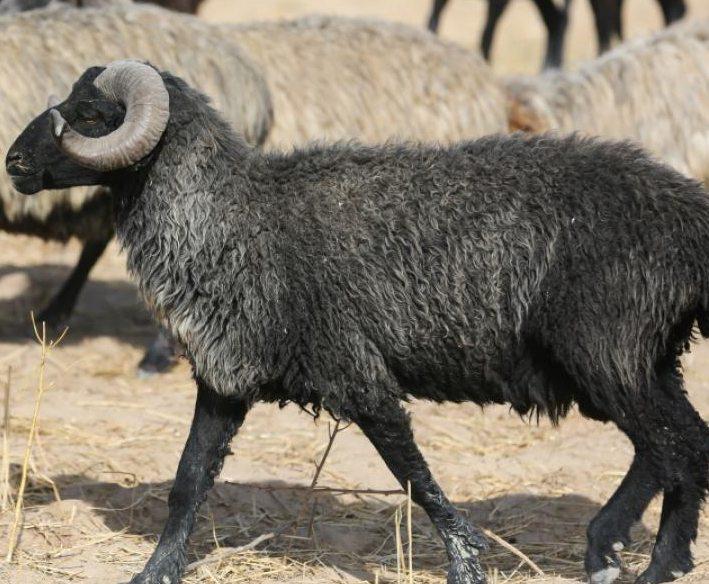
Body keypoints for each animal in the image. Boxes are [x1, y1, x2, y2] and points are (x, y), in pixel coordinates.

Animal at [11, 59, 709, 584]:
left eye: (91, 115)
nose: (14, 162)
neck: (239, 219)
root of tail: (689, 216)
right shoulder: (226, 378)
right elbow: (188, 479)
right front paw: (155, 571)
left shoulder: (356, 373)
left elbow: (412, 474)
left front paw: (467, 563)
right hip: (645, 358)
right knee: (681, 445)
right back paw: (651, 560)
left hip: (606, 353)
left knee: (671, 446)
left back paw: (621, 552)